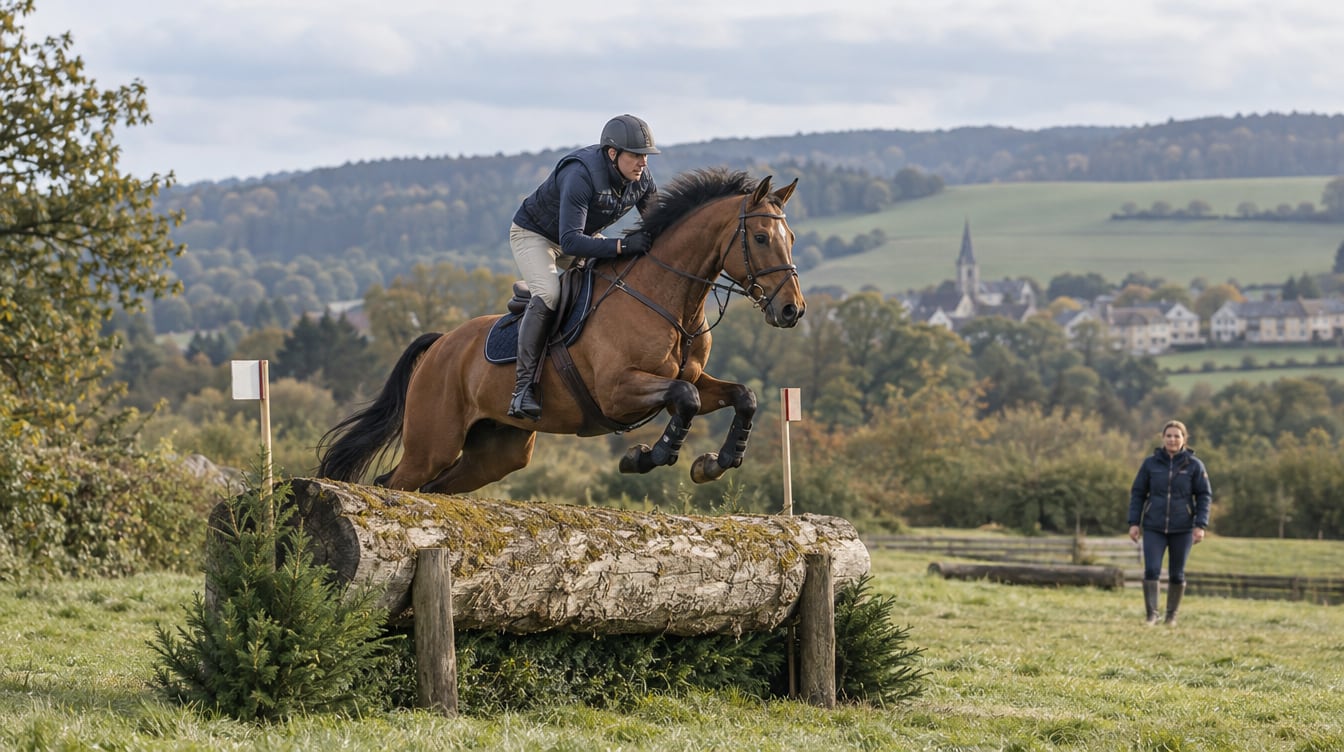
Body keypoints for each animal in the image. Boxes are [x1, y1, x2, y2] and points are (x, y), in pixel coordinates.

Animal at [316, 168, 804, 495]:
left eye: (793, 238)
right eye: (761, 238)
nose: (792, 310)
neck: (670, 300)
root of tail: (440, 346)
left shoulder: (691, 376)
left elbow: (742, 396)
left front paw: (716, 463)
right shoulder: (617, 390)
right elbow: (686, 400)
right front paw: (646, 456)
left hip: (497, 452)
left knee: (436, 489)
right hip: (432, 442)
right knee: (395, 482)